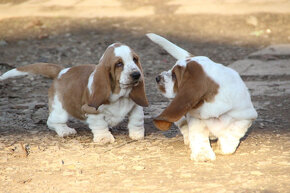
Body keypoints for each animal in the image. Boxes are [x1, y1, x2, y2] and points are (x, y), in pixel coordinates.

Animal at [0, 43, 150, 144]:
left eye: (135, 59)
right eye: (119, 64)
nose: (136, 75)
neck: (120, 94)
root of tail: (61, 71)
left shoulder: (137, 106)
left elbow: (137, 120)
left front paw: (137, 134)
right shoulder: (91, 110)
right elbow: (99, 124)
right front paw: (104, 138)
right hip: (60, 110)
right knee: (52, 122)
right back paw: (65, 131)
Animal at [146, 33, 258, 161]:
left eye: (174, 75)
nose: (157, 78)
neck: (213, 102)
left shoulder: (246, 116)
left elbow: (233, 132)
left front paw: (223, 147)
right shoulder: (196, 118)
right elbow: (198, 136)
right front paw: (202, 155)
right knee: (182, 123)